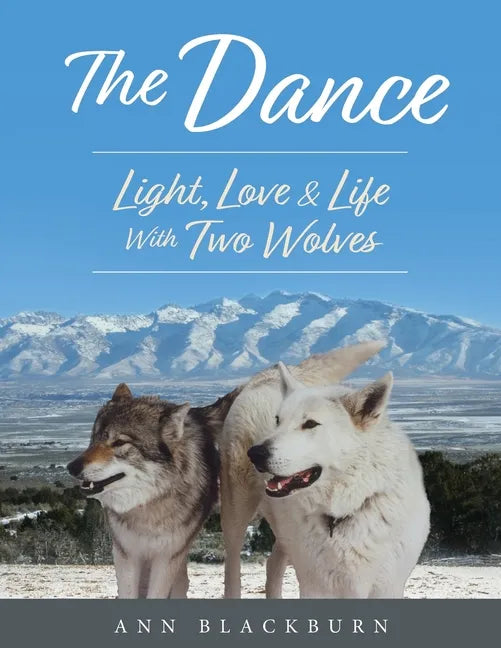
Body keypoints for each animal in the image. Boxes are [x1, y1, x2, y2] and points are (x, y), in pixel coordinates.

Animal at [67, 382, 239, 598]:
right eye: (93, 438)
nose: (72, 467)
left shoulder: (166, 558)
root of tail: (196, 415)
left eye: (119, 442)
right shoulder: (127, 554)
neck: (147, 506)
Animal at [219, 340, 400, 597]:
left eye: (311, 424)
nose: (257, 454)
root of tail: (270, 375)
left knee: (273, 563)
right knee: (233, 567)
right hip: (236, 511)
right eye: (278, 421)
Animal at [244, 362, 430, 598]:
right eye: (278, 421)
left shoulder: (386, 587)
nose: (255, 454)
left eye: (310, 424)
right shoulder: (315, 585)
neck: (341, 513)